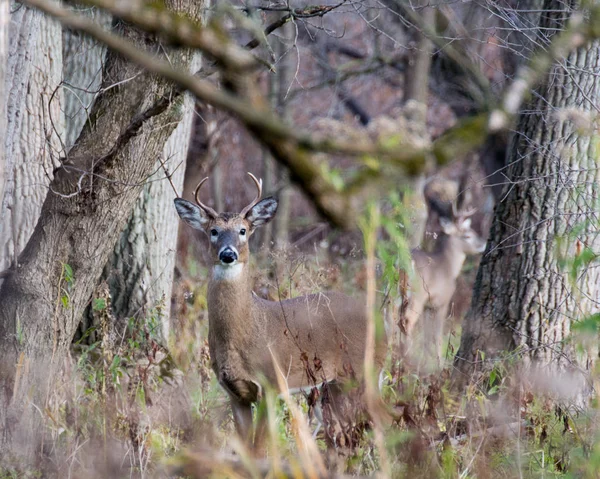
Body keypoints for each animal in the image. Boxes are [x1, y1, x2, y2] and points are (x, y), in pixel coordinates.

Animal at [173, 175, 390, 450]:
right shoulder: (234, 392)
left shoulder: (273, 383)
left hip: (365, 370)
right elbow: (246, 447)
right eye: (214, 231)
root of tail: (381, 322)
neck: (245, 330)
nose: (228, 254)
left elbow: (260, 447)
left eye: (243, 230)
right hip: (333, 386)